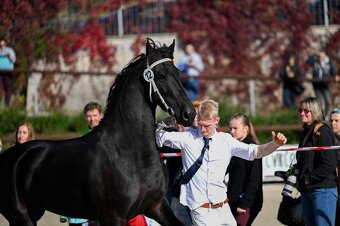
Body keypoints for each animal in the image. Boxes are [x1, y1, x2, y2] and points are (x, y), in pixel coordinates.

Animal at [0, 38, 195, 226]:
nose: (189, 113)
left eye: (178, 73)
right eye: (161, 76)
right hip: (21, 217)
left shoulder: (156, 206)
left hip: (34, 212)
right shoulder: (113, 217)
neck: (130, 154)